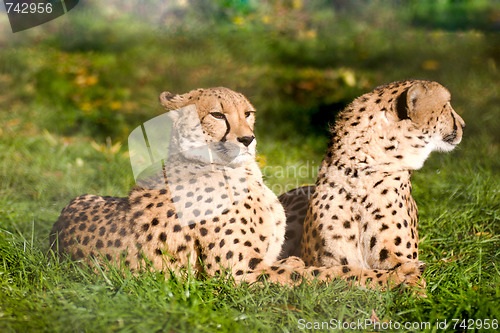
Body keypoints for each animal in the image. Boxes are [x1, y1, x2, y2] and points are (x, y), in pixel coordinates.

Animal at [49, 87, 426, 286]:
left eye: (248, 113)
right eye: (217, 115)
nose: (248, 138)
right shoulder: (235, 274)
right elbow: (323, 274)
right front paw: (396, 277)